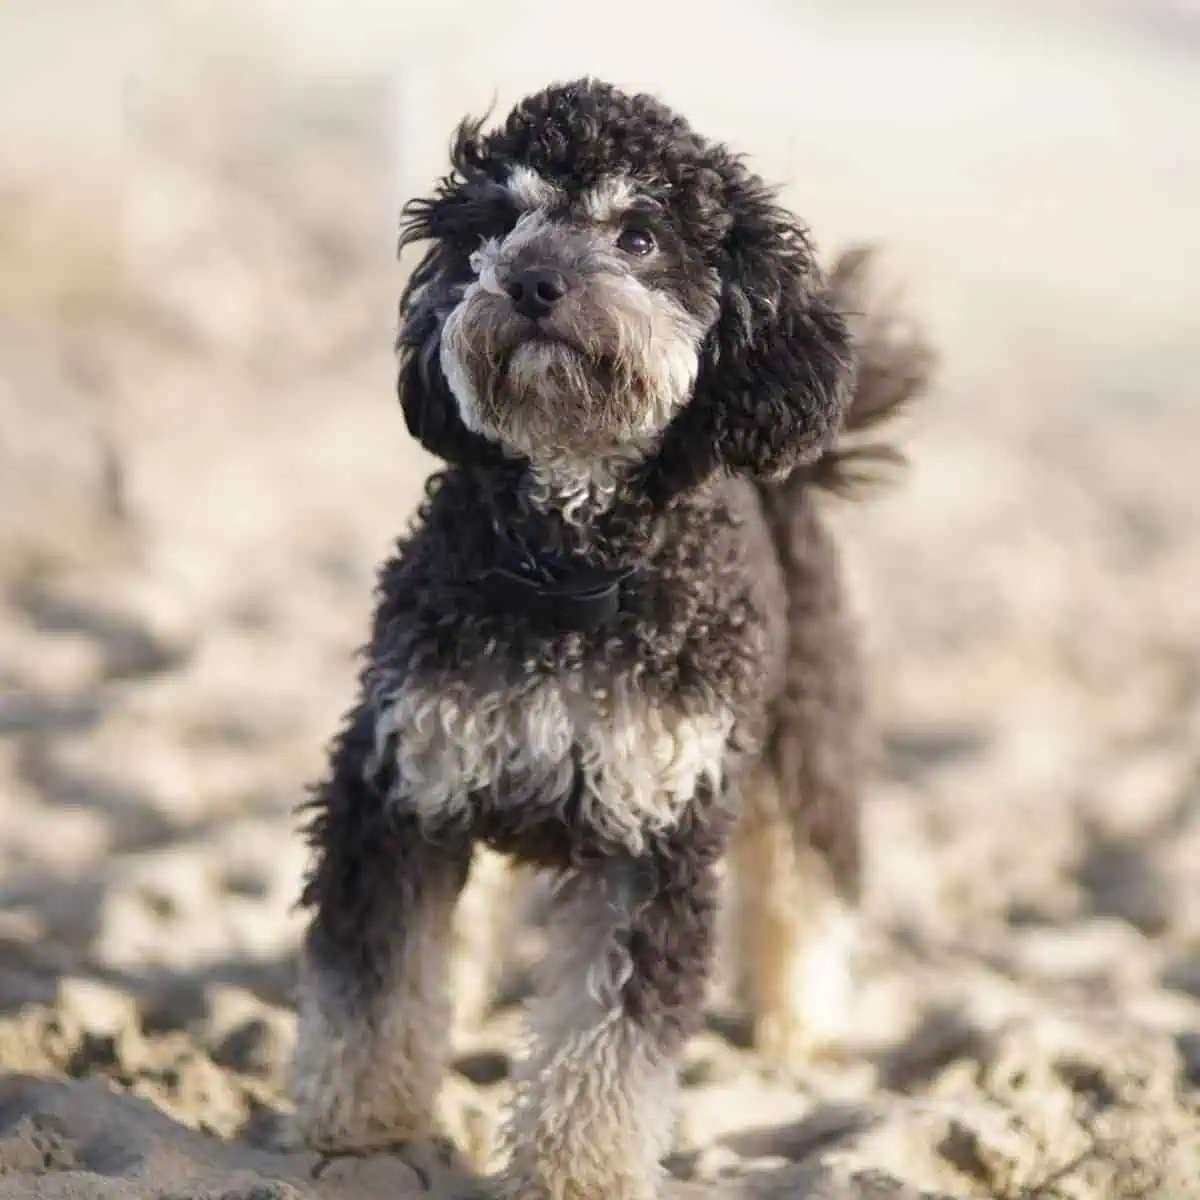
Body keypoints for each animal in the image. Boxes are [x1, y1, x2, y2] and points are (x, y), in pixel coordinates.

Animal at [288, 77, 926, 1200]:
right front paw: (359, 1127)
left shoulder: (654, 838)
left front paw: (576, 1171)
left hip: (807, 738)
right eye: (497, 224)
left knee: (808, 880)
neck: (569, 567)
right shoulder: (401, 780)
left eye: (638, 234)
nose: (533, 282)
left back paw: (802, 1027)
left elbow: (605, 1047)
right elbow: (372, 977)